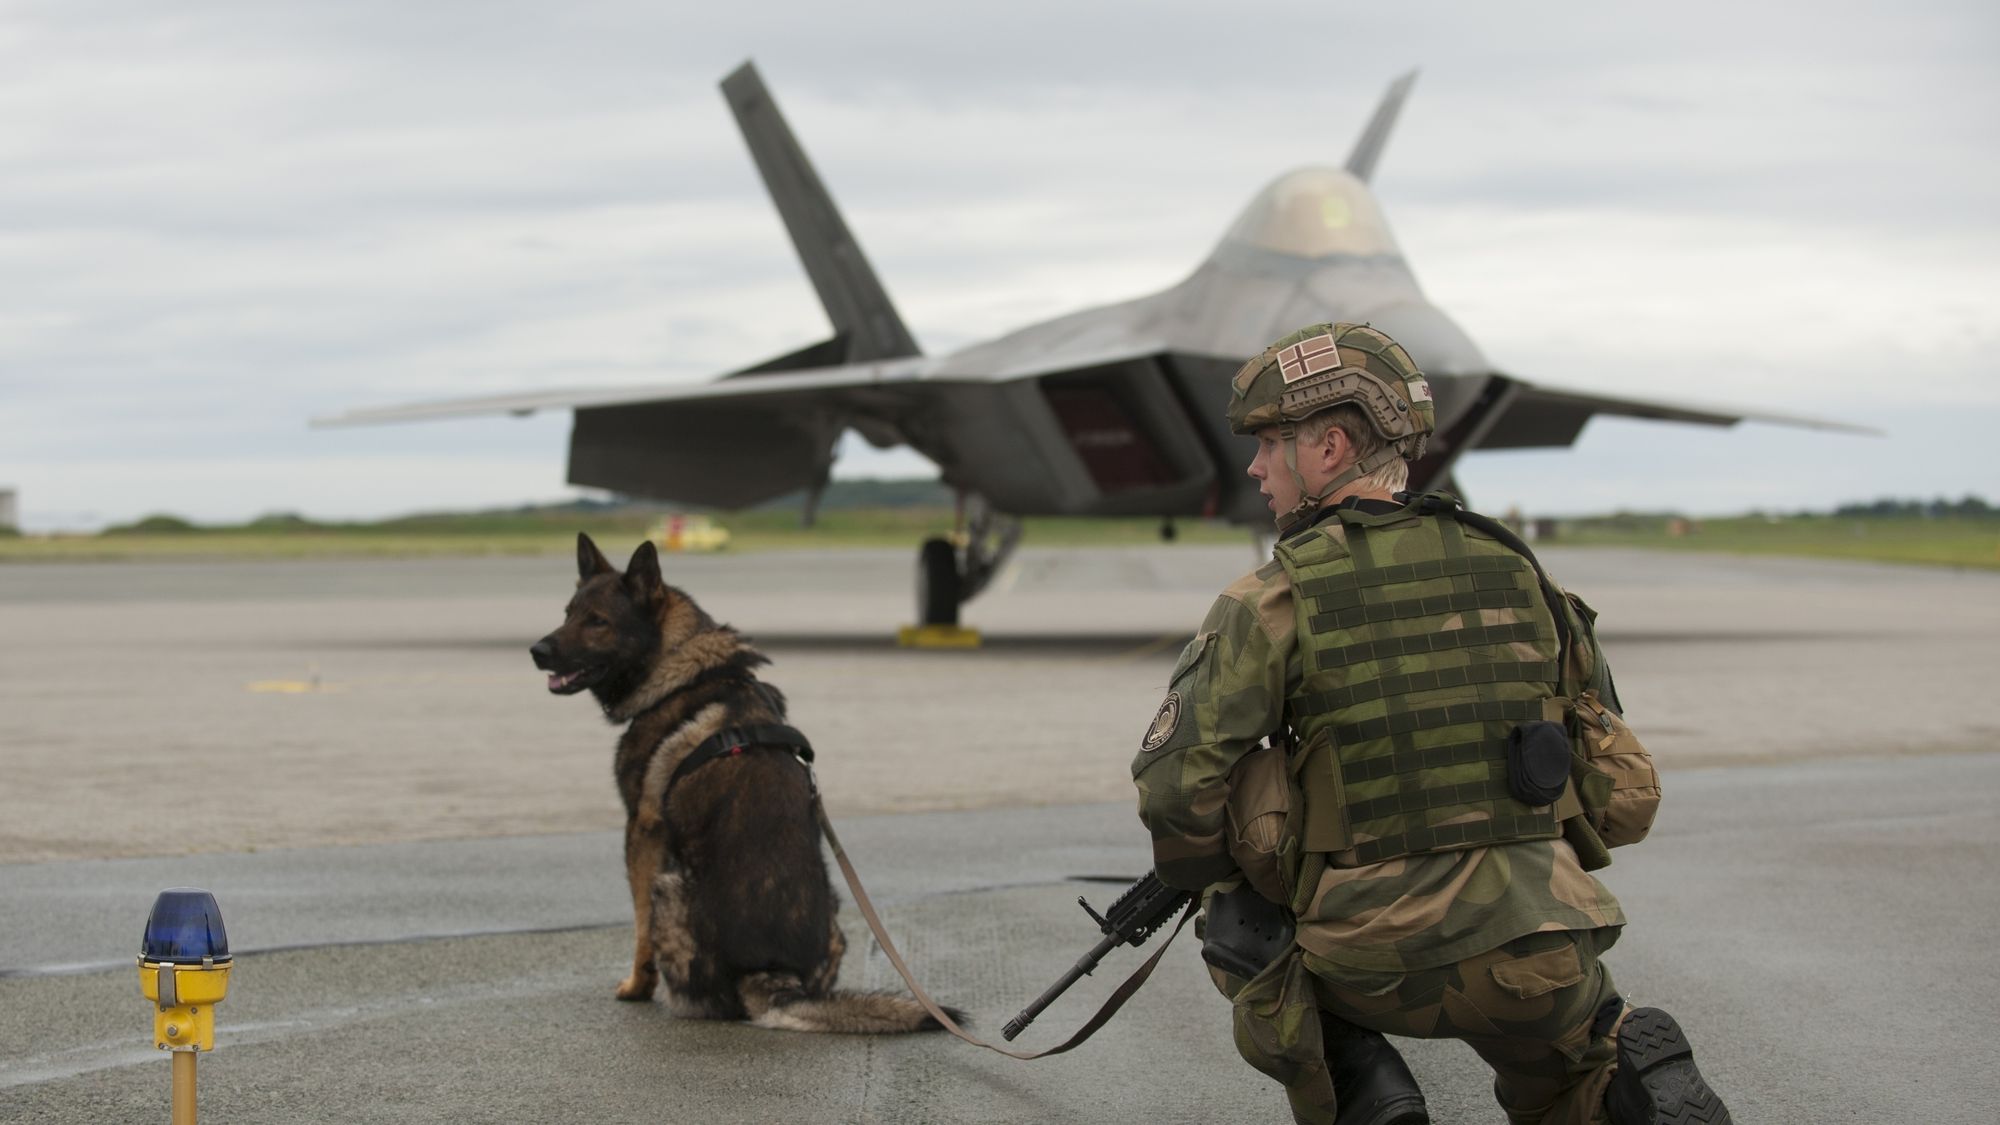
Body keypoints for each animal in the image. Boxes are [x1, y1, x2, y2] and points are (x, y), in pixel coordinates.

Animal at [532, 528, 952, 1032]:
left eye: (597, 622)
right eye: (568, 613)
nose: (536, 652)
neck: (680, 669)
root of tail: (772, 973)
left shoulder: (642, 830)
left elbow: (638, 932)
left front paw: (634, 987)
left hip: (668, 887)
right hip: (835, 910)